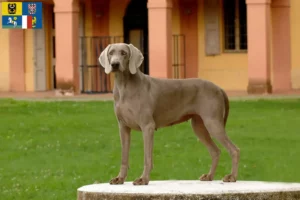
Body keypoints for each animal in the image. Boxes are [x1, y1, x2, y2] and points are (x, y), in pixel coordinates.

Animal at [99, 43, 240, 185]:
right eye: (111, 53)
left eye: (124, 53)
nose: (115, 64)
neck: (124, 86)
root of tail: (219, 88)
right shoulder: (123, 127)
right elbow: (124, 157)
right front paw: (120, 178)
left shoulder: (147, 126)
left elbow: (147, 157)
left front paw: (143, 179)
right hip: (199, 126)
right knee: (215, 151)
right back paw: (209, 176)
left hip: (213, 122)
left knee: (234, 149)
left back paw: (232, 177)